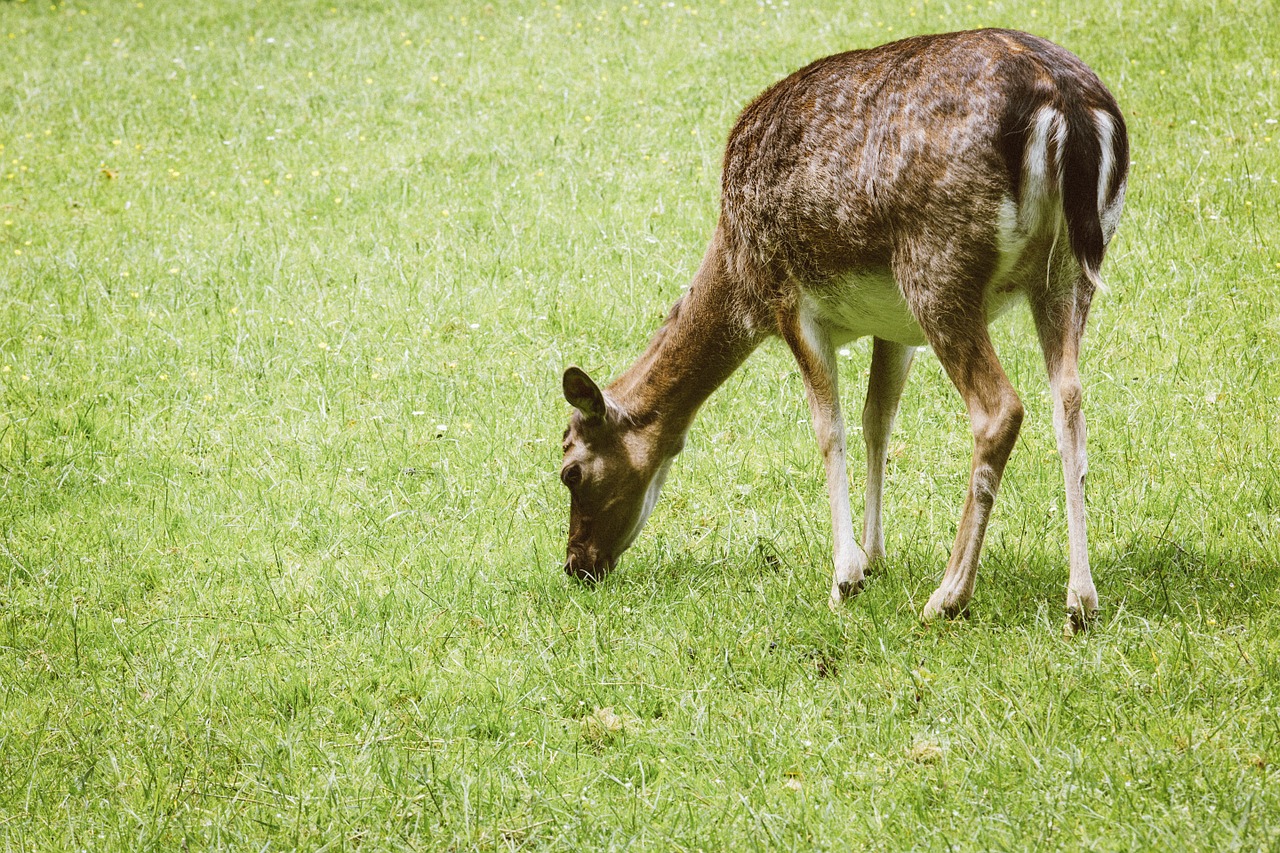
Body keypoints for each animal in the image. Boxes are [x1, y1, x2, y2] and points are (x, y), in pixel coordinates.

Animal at [560, 28, 1131, 630]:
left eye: (570, 472)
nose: (576, 564)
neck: (736, 267)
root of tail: (1067, 107)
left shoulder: (788, 299)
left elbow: (828, 429)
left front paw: (845, 577)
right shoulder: (896, 328)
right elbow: (876, 419)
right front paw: (875, 556)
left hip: (938, 267)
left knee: (1000, 408)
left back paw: (948, 595)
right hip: (1069, 271)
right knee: (1069, 398)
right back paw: (1081, 600)